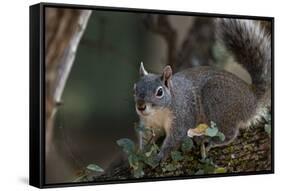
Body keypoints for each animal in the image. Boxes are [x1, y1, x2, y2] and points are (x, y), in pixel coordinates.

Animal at [133, 18, 272, 161]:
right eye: (135, 88)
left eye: (159, 92)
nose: (141, 107)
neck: (158, 113)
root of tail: (252, 98)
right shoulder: (149, 125)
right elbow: (147, 140)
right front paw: (142, 154)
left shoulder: (182, 117)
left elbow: (174, 139)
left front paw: (160, 156)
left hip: (216, 103)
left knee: (229, 134)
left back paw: (211, 141)